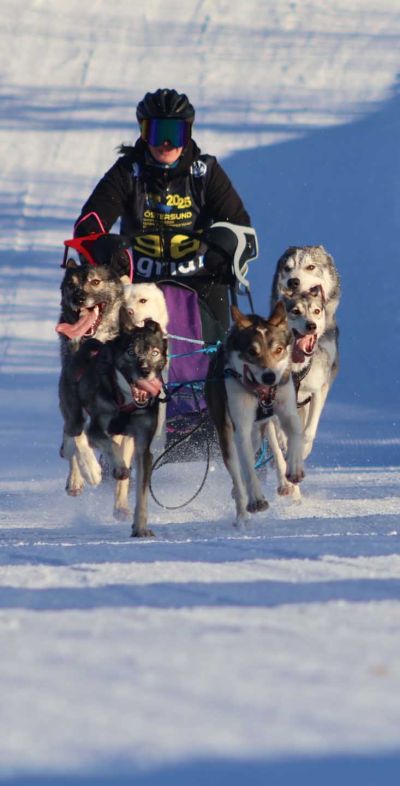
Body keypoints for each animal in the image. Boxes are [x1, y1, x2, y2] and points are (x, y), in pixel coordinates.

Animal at [60, 320, 167, 537]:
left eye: (154, 352)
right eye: (131, 352)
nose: (145, 371)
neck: (125, 401)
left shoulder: (143, 446)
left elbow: (142, 493)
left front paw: (140, 528)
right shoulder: (97, 429)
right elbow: (107, 446)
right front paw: (116, 468)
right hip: (75, 413)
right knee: (75, 435)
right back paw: (87, 471)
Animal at [205, 302, 304, 526]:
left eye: (278, 350)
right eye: (252, 351)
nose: (269, 377)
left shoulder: (287, 411)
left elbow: (295, 433)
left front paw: (294, 468)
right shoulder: (240, 427)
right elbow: (249, 471)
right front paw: (256, 500)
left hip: (261, 430)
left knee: (272, 448)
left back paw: (284, 482)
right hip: (228, 436)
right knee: (238, 473)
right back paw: (242, 514)